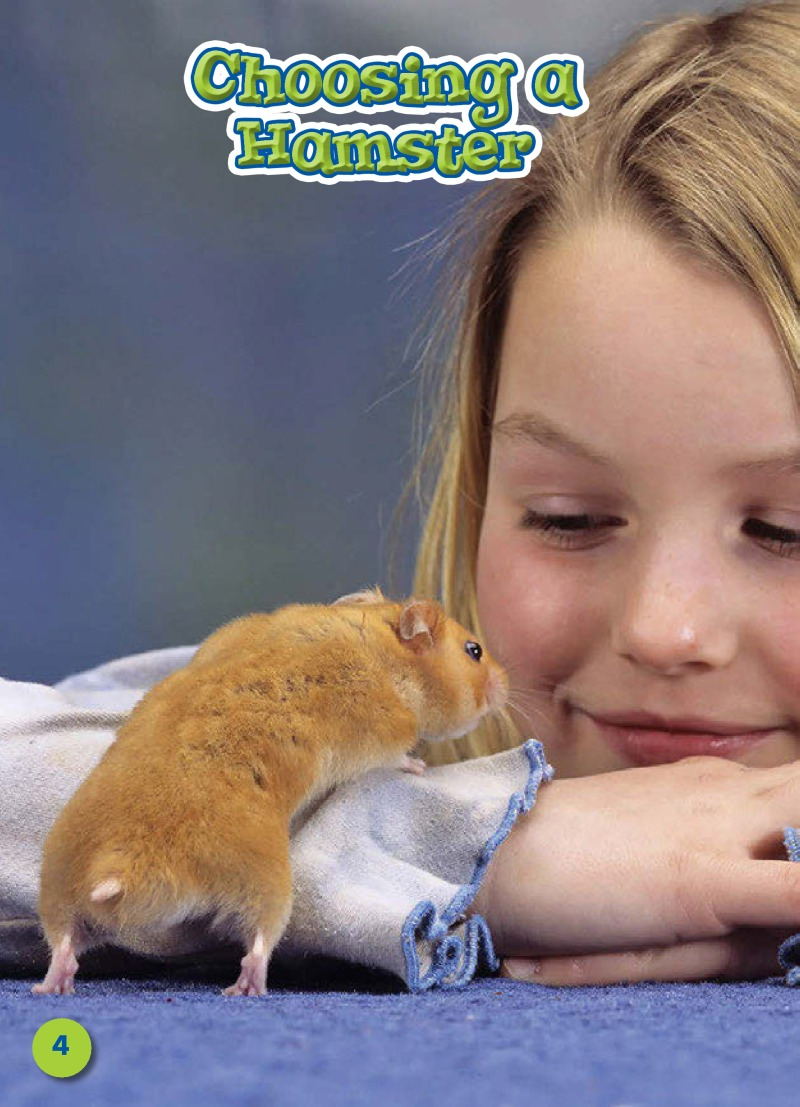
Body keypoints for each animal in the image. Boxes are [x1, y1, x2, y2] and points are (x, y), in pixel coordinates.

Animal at [32, 587, 509, 997]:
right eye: (474, 650)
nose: (505, 683)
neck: (380, 644)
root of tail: (123, 869)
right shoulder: (381, 736)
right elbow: (396, 759)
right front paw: (421, 765)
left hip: (59, 874)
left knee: (64, 942)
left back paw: (50, 986)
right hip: (263, 877)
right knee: (259, 941)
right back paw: (247, 988)